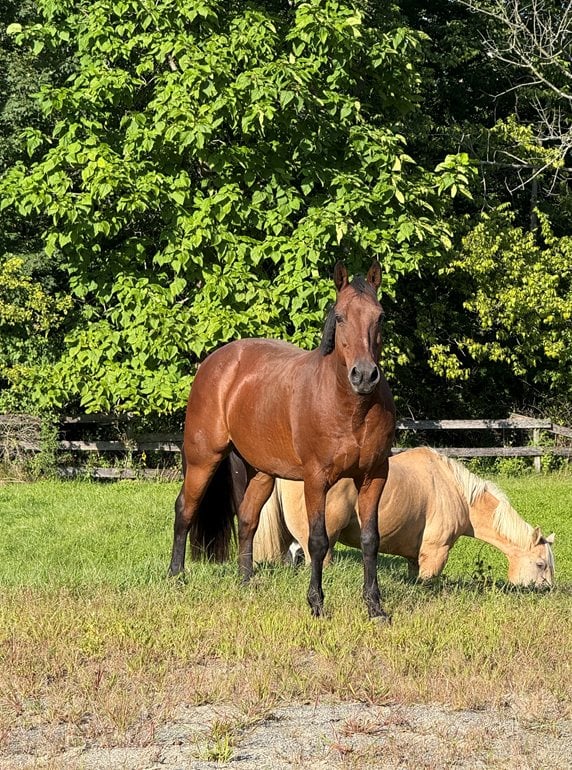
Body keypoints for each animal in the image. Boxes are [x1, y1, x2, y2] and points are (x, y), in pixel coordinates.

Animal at [169, 261, 396, 619]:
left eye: (380, 316)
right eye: (340, 316)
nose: (363, 375)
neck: (350, 408)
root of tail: (218, 361)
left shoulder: (374, 476)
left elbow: (371, 539)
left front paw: (375, 607)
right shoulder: (316, 479)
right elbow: (317, 540)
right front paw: (317, 605)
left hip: (261, 472)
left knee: (247, 519)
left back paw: (247, 582)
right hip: (203, 458)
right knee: (185, 511)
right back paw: (176, 577)